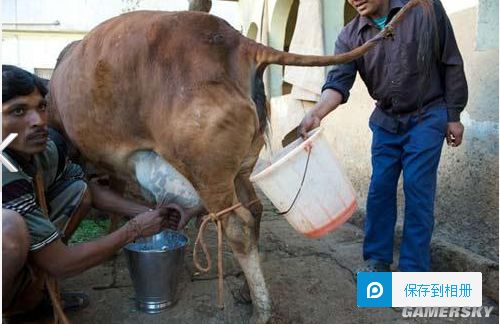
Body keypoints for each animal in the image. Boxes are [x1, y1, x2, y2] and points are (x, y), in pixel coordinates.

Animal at [49, 3, 426, 322]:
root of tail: (238, 43)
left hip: (208, 172)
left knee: (238, 226)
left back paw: (261, 309)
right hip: (241, 167)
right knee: (255, 210)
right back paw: (248, 290)